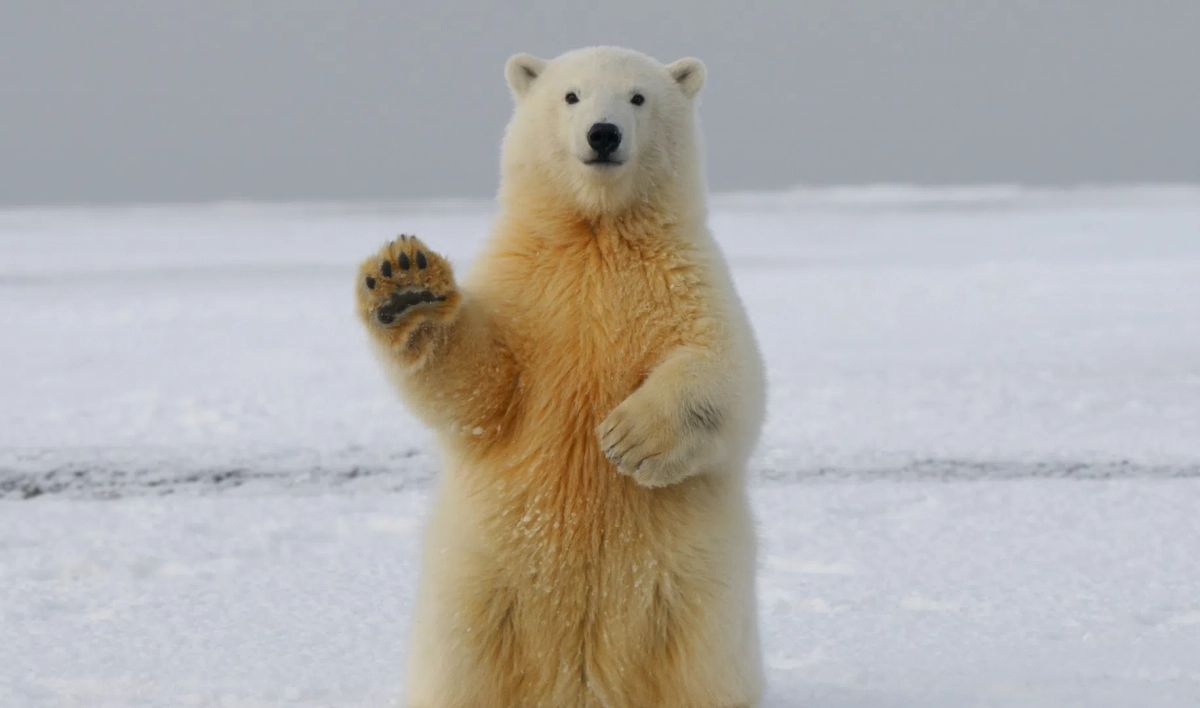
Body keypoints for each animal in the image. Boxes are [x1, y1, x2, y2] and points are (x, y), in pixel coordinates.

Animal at [357, 47, 768, 705]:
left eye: (637, 97)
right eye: (571, 95)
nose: (603, 134)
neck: (596, 233)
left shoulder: (686, 280)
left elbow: (728, 373)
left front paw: (628, 438)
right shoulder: (525, 287)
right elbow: (481, 388)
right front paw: (406, 283)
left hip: (694, 603)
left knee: (699, 675)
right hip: (476, 589)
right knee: (461, 669)